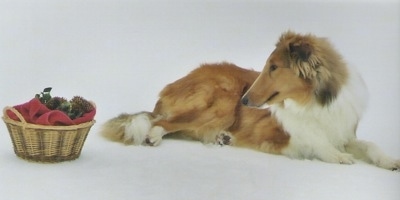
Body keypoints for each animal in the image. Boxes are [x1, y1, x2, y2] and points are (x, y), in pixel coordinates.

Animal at [101, 30, 398, 170]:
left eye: (274, 67)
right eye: (267, 66)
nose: (245, 101)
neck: (313, 102)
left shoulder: (344, 131)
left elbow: (369, 144)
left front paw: (390, 161)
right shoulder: (284, 135)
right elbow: (316, 140)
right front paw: (338, 156)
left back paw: (223, 137)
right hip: (222, 102)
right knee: (164, 121)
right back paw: (154, 135)